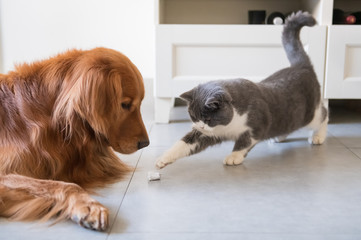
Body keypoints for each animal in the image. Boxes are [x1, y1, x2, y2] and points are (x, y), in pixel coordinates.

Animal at [156, 11, 328, 169]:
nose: (200, 126)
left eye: (208, 119)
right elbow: (185, 144)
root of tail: (300, 66)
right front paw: (164, 158)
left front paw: (234, 156)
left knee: (323, 114)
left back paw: (318, 136)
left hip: (310, 114)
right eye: (193, 117)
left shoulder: (257, 124)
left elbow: (244, 141)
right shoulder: (207, 134)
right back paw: (279, 137)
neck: (228, 126)